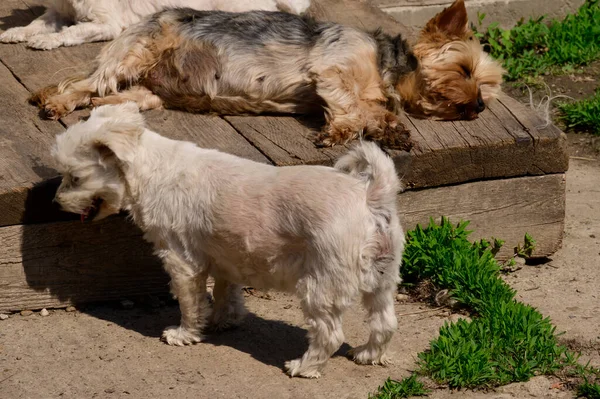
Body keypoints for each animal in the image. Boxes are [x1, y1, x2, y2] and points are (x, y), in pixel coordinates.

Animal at [52, 102, 408, 378]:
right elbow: (226, 292)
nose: (55, 203)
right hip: (382, 279)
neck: (152, 168)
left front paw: (185, 333)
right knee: (385, 323)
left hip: (322, 285)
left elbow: (190, 303)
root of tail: (371, 197)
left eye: (75, 177)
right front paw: (224, 320)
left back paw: (303, 366)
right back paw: (368, 355)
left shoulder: (181, 261)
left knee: (330, 334)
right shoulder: (228, 256)